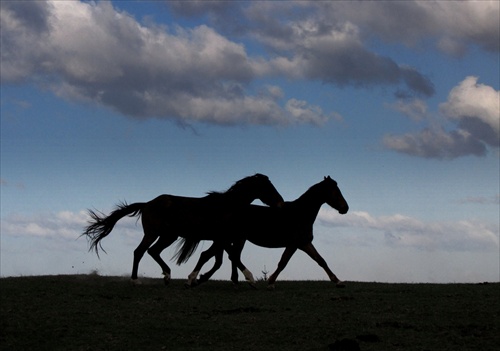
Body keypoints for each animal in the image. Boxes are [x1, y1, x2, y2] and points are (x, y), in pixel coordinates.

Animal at [80, 175, 284, 284]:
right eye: (267, 187)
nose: (280, 203)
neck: (226, 207)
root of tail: (147, 204)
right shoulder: (222, 239)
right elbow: (225, 257)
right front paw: (249, 278)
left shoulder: (221, 239)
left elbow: (220, 260)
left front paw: (200, 278)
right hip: (153, 233)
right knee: (139, 251)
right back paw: (135, 280)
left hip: (168, 236)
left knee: (153, 251)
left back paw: (167, 276)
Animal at [178, 177, 350, 290]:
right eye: (335, 192)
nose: (345, 208)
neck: (299, 214)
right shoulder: (294, 244)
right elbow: (282, 263)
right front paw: (271, 282)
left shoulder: (305, 243)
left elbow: (321, 261)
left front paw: (338, 281)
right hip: (228, 239)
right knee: (211, 255)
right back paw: (193, 280)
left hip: (235, 239)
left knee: (228, 257)